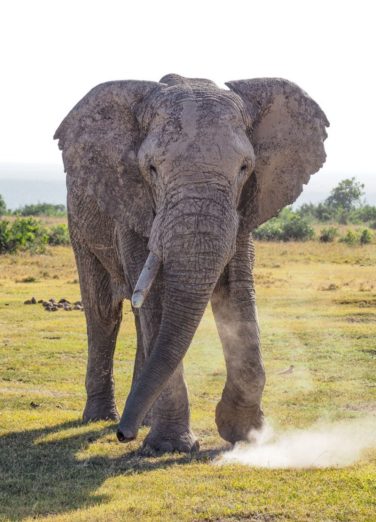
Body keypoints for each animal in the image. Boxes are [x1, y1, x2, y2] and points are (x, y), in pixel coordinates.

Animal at [53, 73, 328, 450]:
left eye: (245, 168)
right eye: (151, 168)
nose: (123, 435)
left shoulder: (244, 204)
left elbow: (237, 292)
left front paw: (243, 433)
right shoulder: (132, 200)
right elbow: (155, 301)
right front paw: (170, 446)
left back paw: (140, 419)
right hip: (78, 216)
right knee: (104, 312)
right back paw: (101, 417)